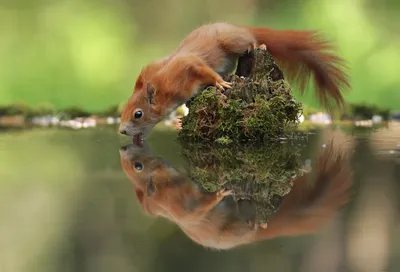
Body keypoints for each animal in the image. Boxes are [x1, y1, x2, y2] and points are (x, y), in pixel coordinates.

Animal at [119, 22, 350, 143]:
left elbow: (203, 69)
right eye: (124, 109)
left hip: (232, 41)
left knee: (250, 42)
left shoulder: (187, 66)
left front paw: (220, 83)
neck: (163, 86)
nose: (121, 131)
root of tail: (236, 26)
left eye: (138, 114)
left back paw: (259, 44)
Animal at [119, 141, 354, 250]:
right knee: (251, 223)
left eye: (137, 166)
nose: (123, 148)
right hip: (236, 227)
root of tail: (250, 238)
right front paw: (220, 192)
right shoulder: (184, 206)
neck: (166, 188)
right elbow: (201, 207)